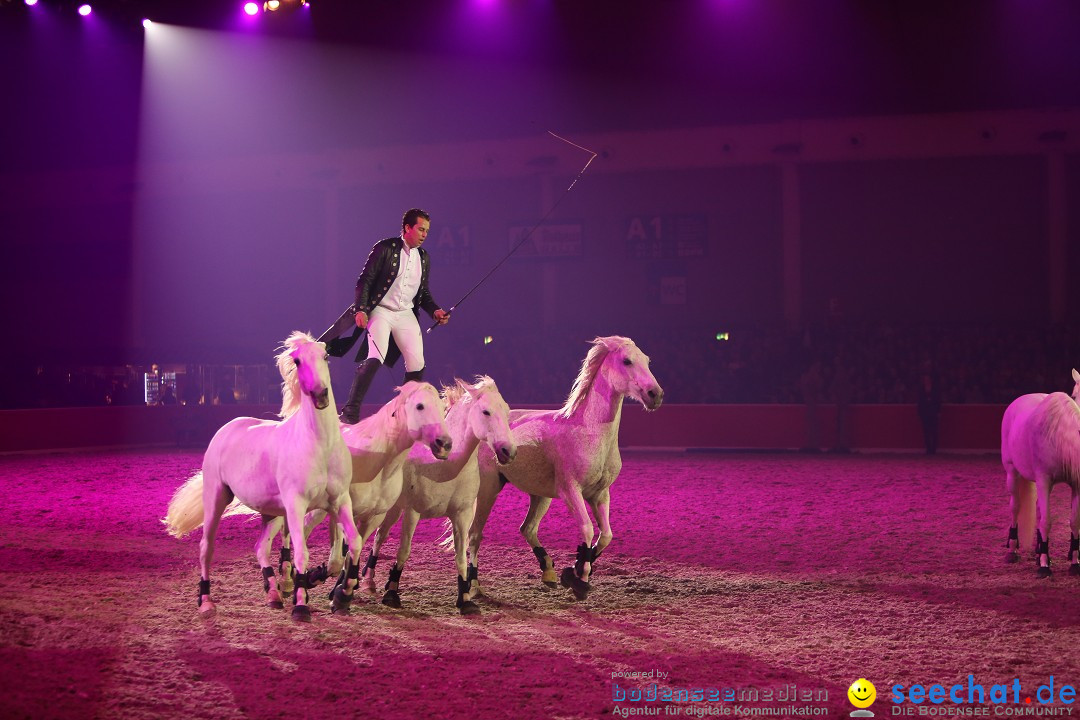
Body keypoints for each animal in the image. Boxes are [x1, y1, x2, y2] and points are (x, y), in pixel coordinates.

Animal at [164, 332, 356, 621]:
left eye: (325, 356)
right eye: (298, 361)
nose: (320, 395)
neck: (320, 445)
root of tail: (227, 428)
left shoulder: (340, 501)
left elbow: (352, 545)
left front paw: (343, 595)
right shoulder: (296, 505)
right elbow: (301, 553)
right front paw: (301, 606)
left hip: (271, 512)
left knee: (260, 547)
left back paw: (274, 593)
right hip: (216, 498)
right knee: (206, 548)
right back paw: (206, 602)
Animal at [257, 382, 451, 613]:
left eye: (442, 406)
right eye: (420, 406)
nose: (445, 444)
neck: (378, 463)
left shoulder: (373, 517)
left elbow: (351, 554)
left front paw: (342, 593)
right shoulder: (340, 511)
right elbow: (336, 560)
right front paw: (316, 579)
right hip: (312, 511)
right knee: (293, 532)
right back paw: (286, 580)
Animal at [365, 375, 516, 617]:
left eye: (506, 409)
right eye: (486, 411)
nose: (508, 451)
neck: (443, 468)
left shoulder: (462, 516)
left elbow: (461, 557)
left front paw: (465, 599)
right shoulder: (412, 512)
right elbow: (403, 551)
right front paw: (392, 594)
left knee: (380, 535)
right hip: (392, 509)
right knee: (379, 536)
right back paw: (369, 581)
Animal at [464, 338, 656, 604]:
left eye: (647, 360)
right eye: (627, 361)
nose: (655, 394)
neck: (590, 433)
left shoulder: (600, 494)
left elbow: (606, 535)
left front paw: (573, 570)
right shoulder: (570, 491)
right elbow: (587, 528)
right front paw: (580, 581)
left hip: (540, 496)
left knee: (527, 528)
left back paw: (549, 571)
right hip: (488, 489)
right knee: (474, 535)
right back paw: (474, 586)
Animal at [1002, 369, 1080, 578]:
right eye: (1075, 394)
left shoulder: (1077, 483)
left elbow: (1074, 521)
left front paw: (1075, 563)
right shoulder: (1044, 480)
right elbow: (1046, 521)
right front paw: (1045, 565)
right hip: (1012, 471)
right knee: (1015, 507)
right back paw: (1012, 550)